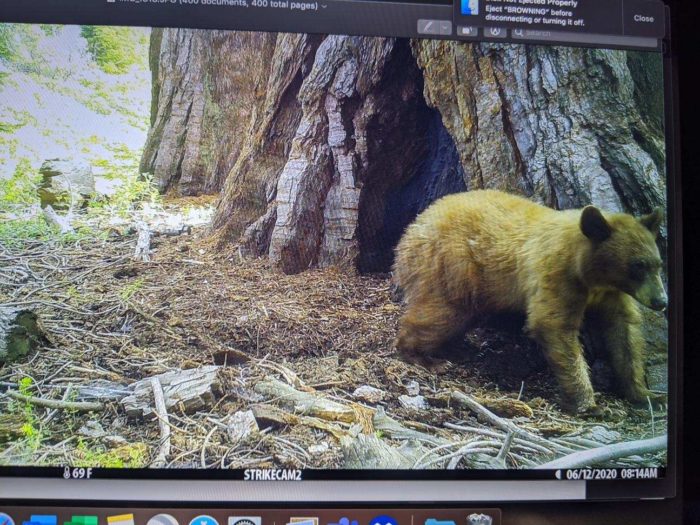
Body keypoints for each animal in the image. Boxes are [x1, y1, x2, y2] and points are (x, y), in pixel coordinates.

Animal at [394, 188, 668, 414]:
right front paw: (589, 404)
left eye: (657, 264)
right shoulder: (556, 275)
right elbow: (554, 325)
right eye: (638, 265)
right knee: (440, 314)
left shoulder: (613, 294)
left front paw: (647, 394)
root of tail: (412, 230)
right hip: (450, 266)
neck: (589, 274)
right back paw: (422, 356)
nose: (661, 301)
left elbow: (624, 332)